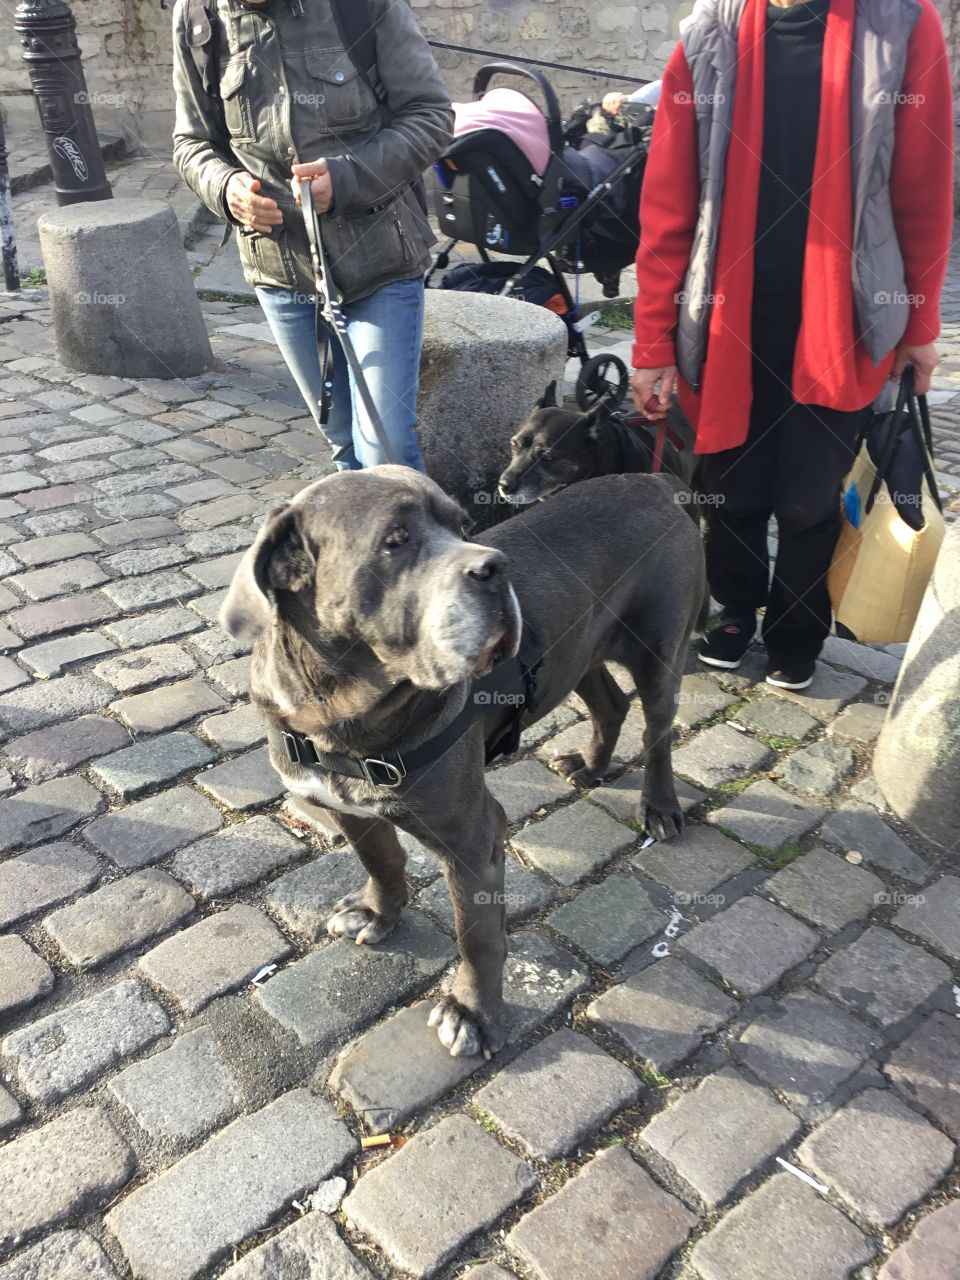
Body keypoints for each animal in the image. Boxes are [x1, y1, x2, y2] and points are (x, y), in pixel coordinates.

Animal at [224, 465, 706, 1054]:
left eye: (464, 526)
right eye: (396, 538)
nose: (497, 567)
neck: (343, 713)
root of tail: (655, 480)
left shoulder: (472, 837)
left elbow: (477, 936)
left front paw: (472, 1012)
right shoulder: (346, 808)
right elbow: (381, 859)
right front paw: (378, 912)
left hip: (659, 650)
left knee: (658, 729)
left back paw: (659, 807)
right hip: (579, 651)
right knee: (610, 703)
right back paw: (590, 766)